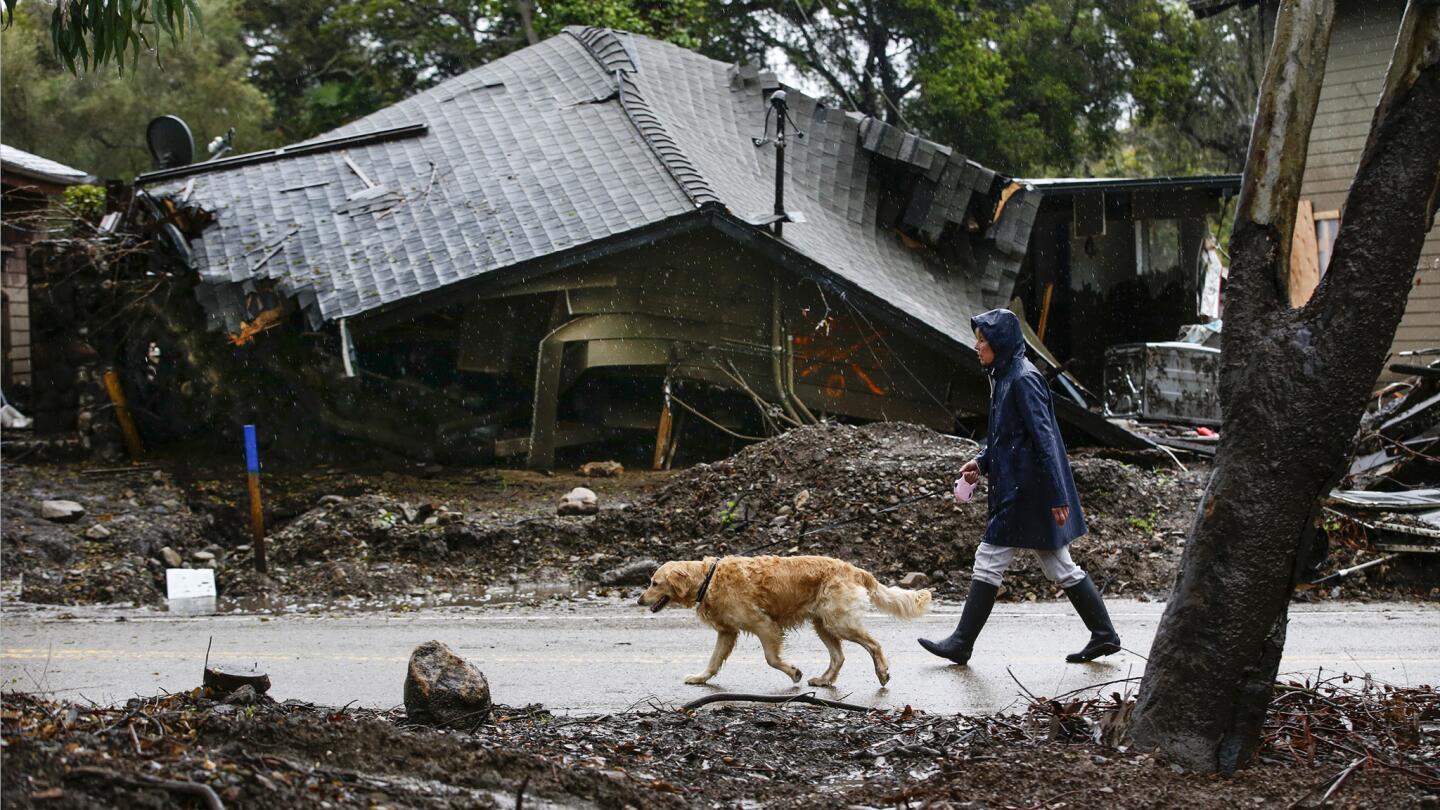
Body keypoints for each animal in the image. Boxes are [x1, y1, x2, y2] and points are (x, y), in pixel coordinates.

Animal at [636, 553, 927, 680]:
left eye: (654, 583)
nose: (638, 600)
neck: (708, 579)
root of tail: (855, 569)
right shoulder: (727, 632)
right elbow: (713, 661)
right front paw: (700, 678)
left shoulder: (764, 625)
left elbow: (771, 659)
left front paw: (793, 672)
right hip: (823, 624)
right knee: (838, 656)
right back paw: (824, 680)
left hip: (839, 622)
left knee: (874, 645)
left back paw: (882, 673)